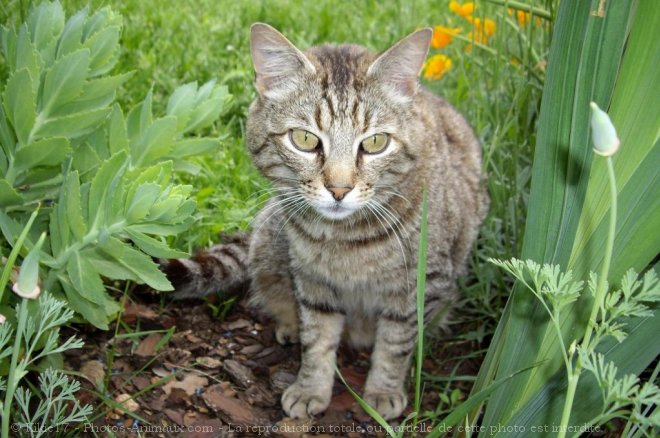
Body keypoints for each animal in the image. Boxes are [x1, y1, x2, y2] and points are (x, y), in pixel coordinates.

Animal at [162, 24, 488, 420]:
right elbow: (317, 339)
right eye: (304, 139)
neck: (346, 239)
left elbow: (395, 344)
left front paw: (382, 391)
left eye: (375, 143)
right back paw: (289, 326)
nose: (339, 189)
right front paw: (310, 388)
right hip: (269, 243)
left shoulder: (420, 286)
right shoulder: (312, 280)